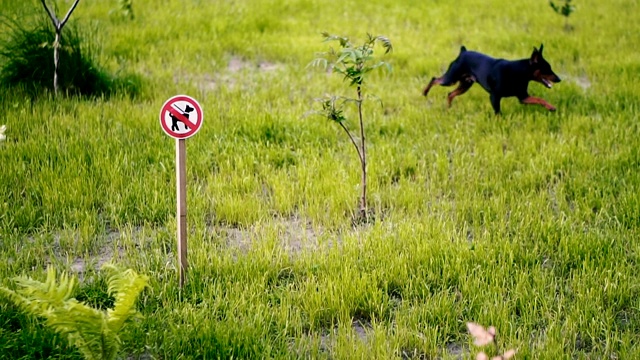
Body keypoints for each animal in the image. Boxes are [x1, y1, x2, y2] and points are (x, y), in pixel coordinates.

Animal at [424, 44, 560, 114]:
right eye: (547, 69)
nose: (559, 79)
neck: (518, 72)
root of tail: (463, 52)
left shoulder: (523, 97)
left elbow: (539, 99)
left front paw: (551, 107)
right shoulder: (494, 96)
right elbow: (498, 113)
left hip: (465, 85)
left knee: (450, 94)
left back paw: (448, 109)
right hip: (450, 79)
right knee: (434, 79)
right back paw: (424, 92)